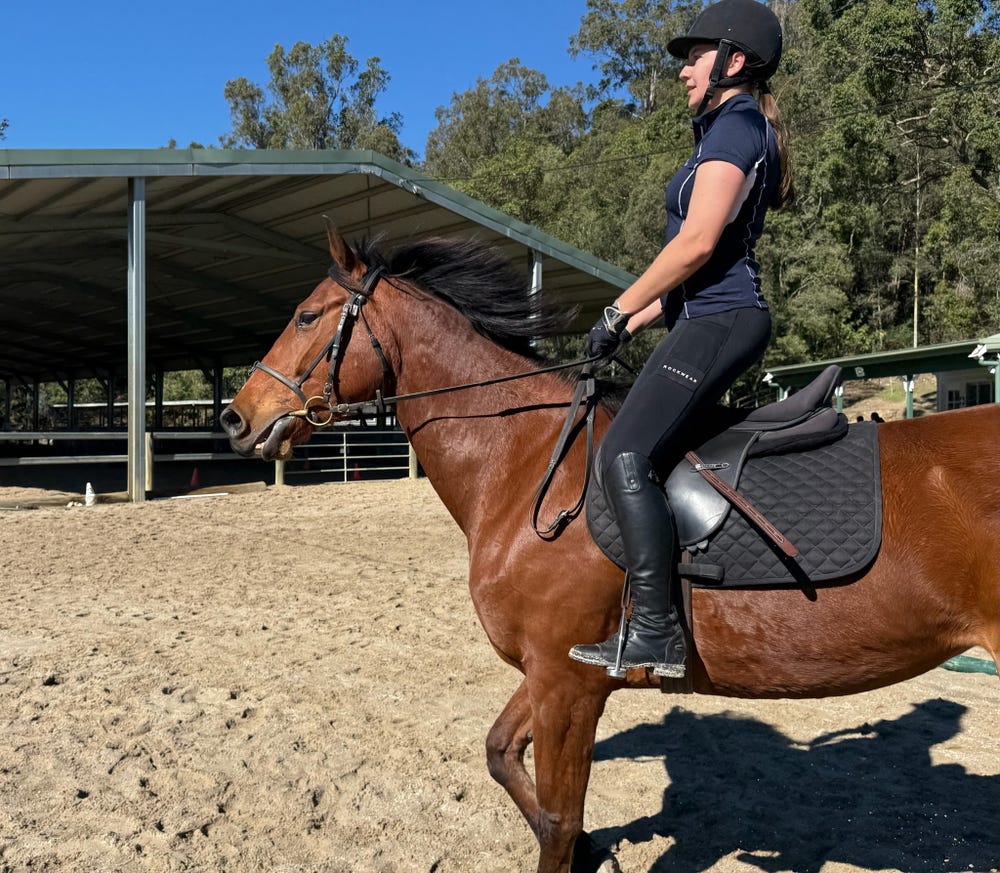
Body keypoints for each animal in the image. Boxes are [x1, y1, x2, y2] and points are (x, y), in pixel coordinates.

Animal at [221, 226, 1000, 873]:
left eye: (307, 316)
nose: (236, 417)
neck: (525, 459)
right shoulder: (552, 668)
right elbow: (502, 755)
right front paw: (599, 850)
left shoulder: (567, 684)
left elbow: (558, 822)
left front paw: (584, 846)